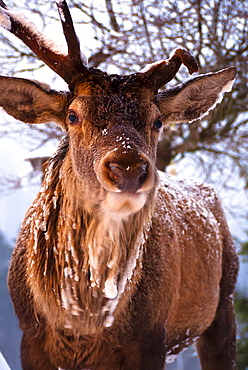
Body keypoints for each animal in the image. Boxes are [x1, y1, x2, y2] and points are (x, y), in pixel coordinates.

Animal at [0, 0, 240, 370]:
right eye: (73, 116)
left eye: (158, 121)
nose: (127, 169)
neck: (82, 324)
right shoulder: (31, 337)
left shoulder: (150, 339)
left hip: (224, 300)